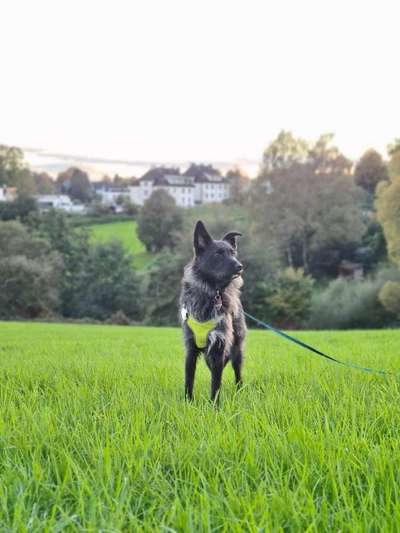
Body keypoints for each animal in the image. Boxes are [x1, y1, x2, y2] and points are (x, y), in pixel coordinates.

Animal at [180, 218, 247, 402]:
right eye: (218, 254)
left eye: (233, 253)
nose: (240, 266)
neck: (212, 293)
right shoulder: (191, 348)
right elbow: (189, 379)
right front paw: (188, 402)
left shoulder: (219, 345)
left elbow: (215, 384)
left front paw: (214, 406)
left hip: (237, 348)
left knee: (237, 372)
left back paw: (240, 391)